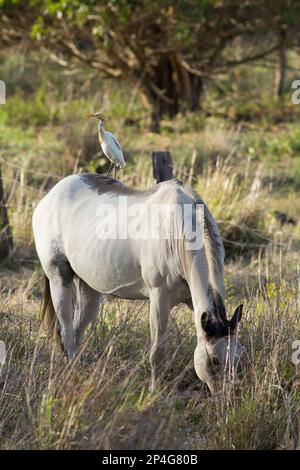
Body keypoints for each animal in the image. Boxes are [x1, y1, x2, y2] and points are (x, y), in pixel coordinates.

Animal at [32, 174, 243, 392]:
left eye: (237, 358)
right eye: (215, 360)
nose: (227, 395)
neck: (176, 227)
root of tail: (50, 196)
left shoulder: (193, 301)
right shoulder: (159, 298)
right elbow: (157, 352)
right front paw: (154, 391)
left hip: (89, 290)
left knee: (76, 331)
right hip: (59, 280)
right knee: (66, 331)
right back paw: (71, 376)